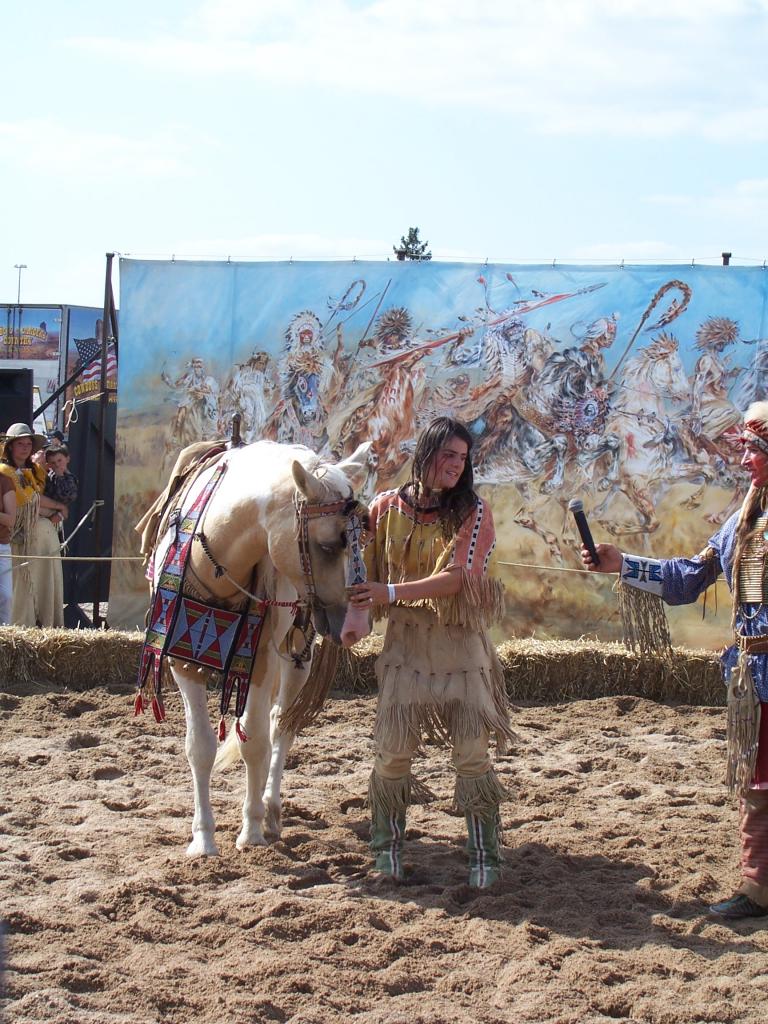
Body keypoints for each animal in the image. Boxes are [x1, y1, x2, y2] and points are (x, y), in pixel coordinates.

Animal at [142, 440, 376, 856]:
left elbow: (256, 741)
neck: (213, 555)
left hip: (297, 654)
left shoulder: (261, 658)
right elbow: (199, 746)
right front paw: (203, 838)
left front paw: (250, 830)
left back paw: (269, 810)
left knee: (280, 724)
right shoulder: (182, 660)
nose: (356, 625)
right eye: (327, 544)